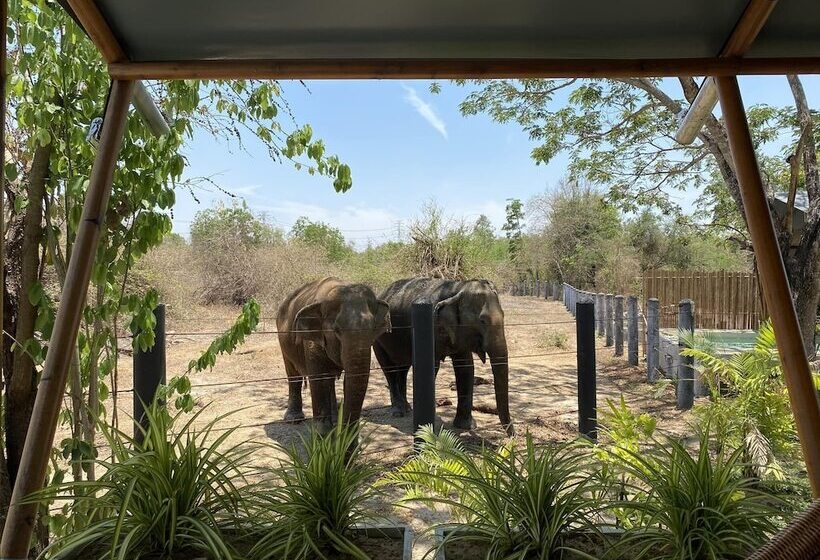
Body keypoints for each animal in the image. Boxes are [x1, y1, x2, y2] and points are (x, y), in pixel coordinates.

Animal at [277, 277, 391, 431]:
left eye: (373, 329)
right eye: (337, 330)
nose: (348, 435)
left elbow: (348, 380)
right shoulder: (313, 342)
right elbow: (318, 377)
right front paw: (323, 434)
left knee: (329, 380)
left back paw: (335, 418)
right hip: (283, 341)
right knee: (293, 373)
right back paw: (294, 419)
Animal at [373, 277, 514, 435]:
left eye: (503, 315)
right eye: (482, 320)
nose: (512, 435)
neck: (457, 287)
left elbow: (466, 367)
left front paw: (467, 426)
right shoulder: (431, 325)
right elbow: (432, 366)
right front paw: (427, 430)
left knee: (403, 369)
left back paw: (407, 408)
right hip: (378, 337)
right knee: (389, 368)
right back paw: (398, 412)